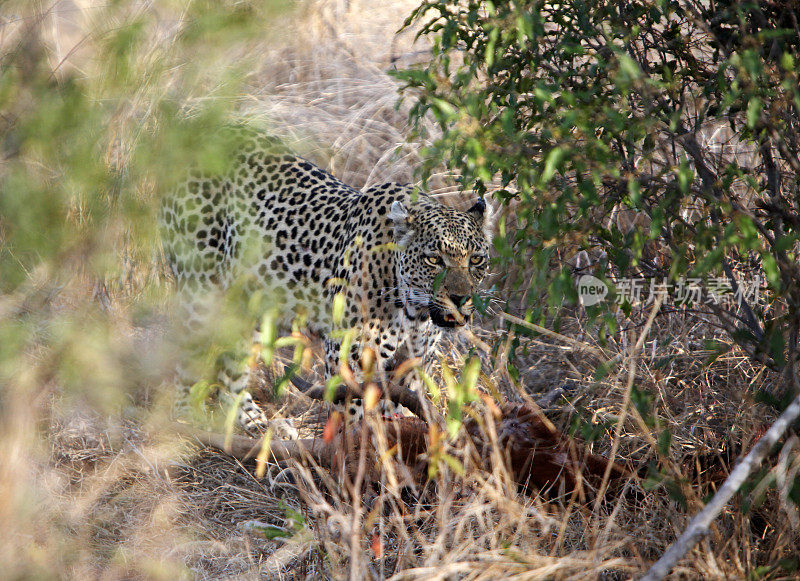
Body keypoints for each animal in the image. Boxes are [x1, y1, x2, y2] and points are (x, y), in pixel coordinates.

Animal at [159, 130, 490, 440]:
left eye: (476, 260)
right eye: (433, 260)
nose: (460, 298)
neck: (413, 311)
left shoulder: (414, 359)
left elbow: (398, 406)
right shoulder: (350, 354)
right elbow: (354, 411)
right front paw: (354, 449)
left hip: (250, 302)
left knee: (232, 365)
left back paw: (258, 424)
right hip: (200, 290)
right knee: (183, 357)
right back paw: (183, 424)